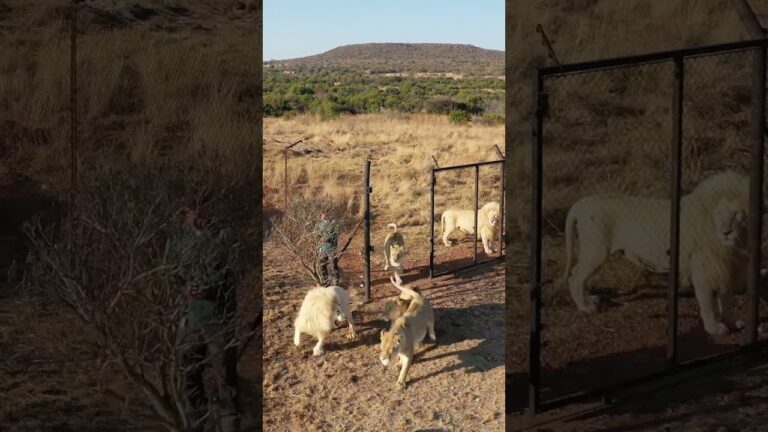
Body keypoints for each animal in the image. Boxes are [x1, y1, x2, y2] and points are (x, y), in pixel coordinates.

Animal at [559, 170, 749, 313]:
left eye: (736, 213)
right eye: (719, 213)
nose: (726, 232)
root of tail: (579, 204)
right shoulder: (710, 261)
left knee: (579, 275)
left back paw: (590, 299)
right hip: (596, 250)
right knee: (576, 276)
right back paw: (585, 307)